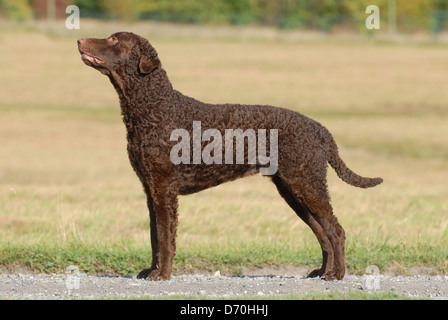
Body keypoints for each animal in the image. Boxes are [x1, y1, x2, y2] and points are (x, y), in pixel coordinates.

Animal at [78, 32, 382, 282]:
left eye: (114, 39)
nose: (79, 40)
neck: (155, 107)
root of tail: (322, 131)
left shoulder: (164, 188)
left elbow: (165, 237)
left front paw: (162, 275)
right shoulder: (150, 188)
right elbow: (155, 236)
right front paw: (151, 270)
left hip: (307, 183)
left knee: (336, 231)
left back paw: (337, 274)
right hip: (294, 189)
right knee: (323, 234)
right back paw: (322, 272)